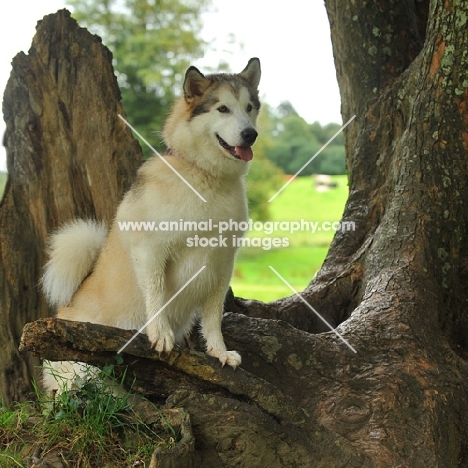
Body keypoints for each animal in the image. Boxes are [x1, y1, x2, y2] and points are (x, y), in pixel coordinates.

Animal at [42, 57, 262, 392]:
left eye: (249, 107)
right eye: (223, 108)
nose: (251, 134)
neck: (205, 177)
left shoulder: (222, 261)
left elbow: (213, 316)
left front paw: (219, 352)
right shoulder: (151, 249)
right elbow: (157, 294)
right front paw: (161, 334)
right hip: (79, 368)